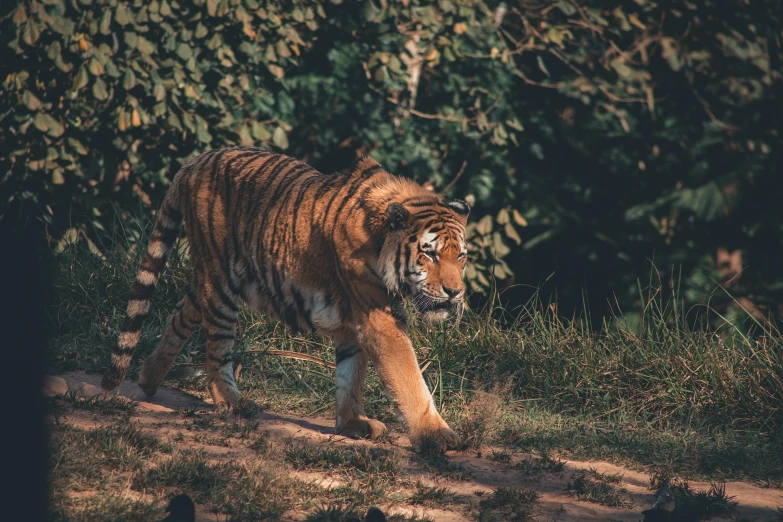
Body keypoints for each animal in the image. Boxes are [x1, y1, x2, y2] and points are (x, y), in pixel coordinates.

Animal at [103, 144, 472, 444]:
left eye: (461, 256)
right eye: (430, 254)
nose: (455, 292)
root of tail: (196, 161)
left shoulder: (354, 320)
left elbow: (351, 374)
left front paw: (353, 423)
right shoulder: (378, 318)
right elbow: (407, 377)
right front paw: (435, 435)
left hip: (208, 279)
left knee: (181, 315)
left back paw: (148, 379)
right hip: (221, 283)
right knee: (217, 349)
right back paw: (233, 403)